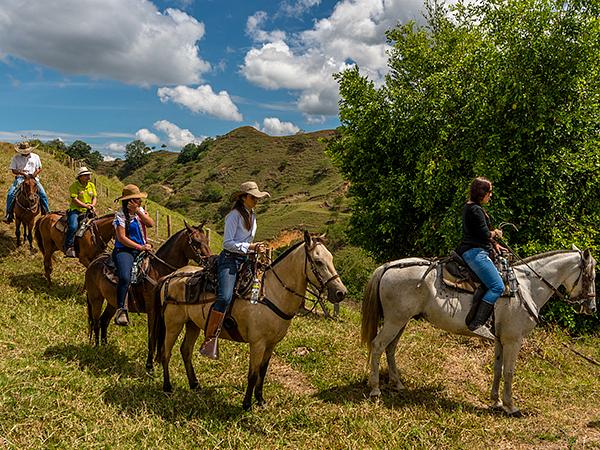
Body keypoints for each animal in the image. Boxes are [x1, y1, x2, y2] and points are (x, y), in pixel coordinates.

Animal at [85, 223, 212, 374]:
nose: (210, 261)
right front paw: (150, 366)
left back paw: (104, 347)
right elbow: (152, 336)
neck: (159, 271)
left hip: (113, 303)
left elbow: (160, 336)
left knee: (104, 321)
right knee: (96, 322)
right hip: (96, 299)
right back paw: (97, 347)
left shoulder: (163, 312)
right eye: (196, 242)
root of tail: (94, 262)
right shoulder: (153, 311)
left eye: (207, 240)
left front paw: (158, 360)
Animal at [155, 232, 350, 412]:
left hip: (192, 325)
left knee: (185, 351)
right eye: (318, 261)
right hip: (173, 325)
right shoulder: (258, 343)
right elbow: (253, 374)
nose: (341, 293)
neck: (270, 293)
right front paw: (247, 404)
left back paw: (195, 384)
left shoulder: (271, 344)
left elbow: (262, 372)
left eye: (331, 259)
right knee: (166, 352)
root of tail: (171, 276)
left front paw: (260, 400)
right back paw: (167, 387)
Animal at [360, 248, 596, 416]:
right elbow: (509, 372)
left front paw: (496, 402)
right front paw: (511, 406)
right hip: (395, 320)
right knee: (378, 345)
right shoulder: (513, 340)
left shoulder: (501, 340)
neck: (526, 287)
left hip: (401, 321)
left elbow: (498, 369)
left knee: (390, 348)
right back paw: (375, 389)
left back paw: (397, 383)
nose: (591, 308)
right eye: (590, 276)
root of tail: (388, 266)